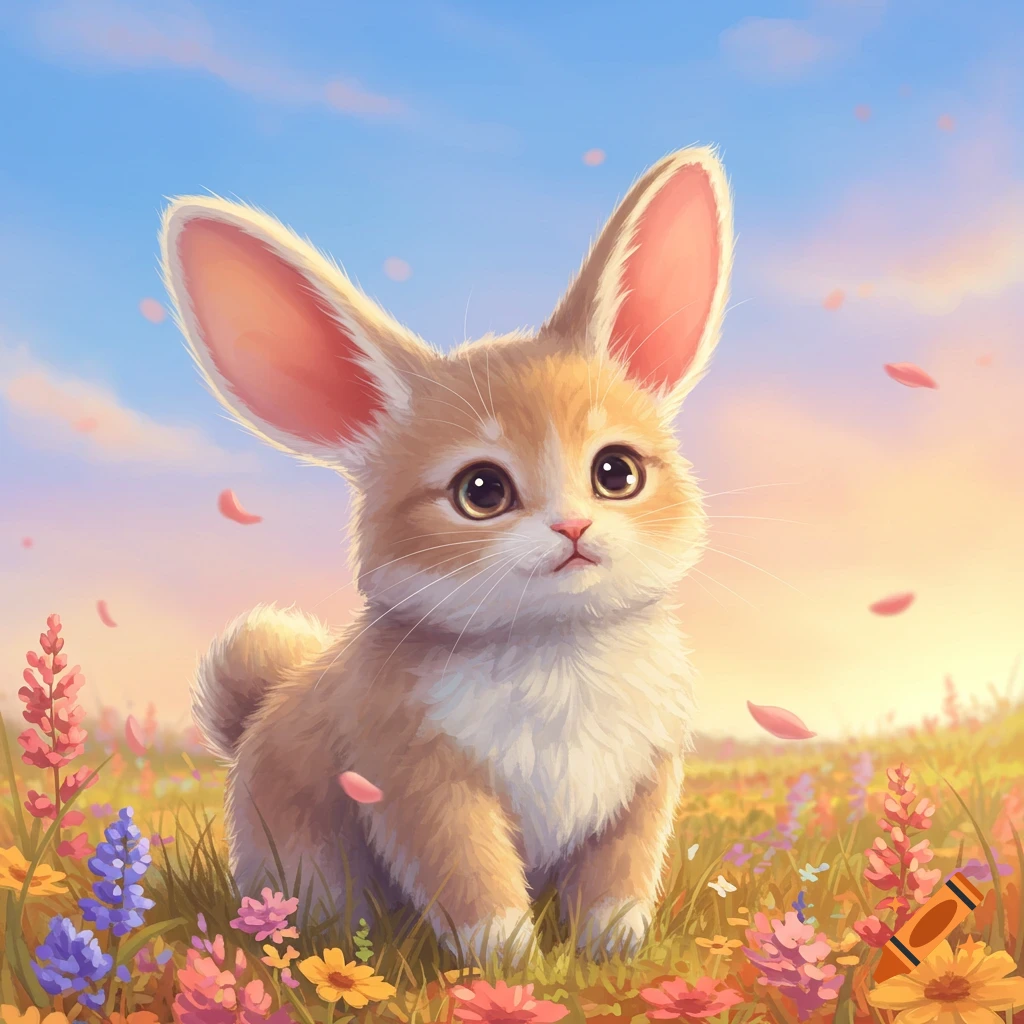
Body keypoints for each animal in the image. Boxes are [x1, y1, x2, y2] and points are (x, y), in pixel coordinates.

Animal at [159, 144, 734, 964]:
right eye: (481, 490)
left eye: (617, 472)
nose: (573, 529)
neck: (551, 645)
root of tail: (255, 714)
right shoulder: (420, 786)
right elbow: (476, 881)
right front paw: (514, 967)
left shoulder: (643, 787)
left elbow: (617, 883)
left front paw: (613, 954)